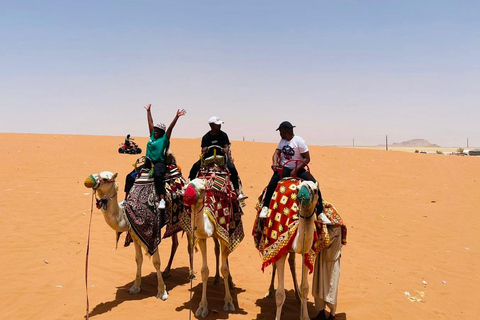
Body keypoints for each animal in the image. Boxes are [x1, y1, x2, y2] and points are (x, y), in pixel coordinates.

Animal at [84, 171, 169, 302]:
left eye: (105, 178)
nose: (88, 181)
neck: (126, 214)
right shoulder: (134, 234)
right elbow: (138, 259)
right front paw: (135, 287)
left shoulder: (153, 236)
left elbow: (156, 262)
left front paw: (162, 292)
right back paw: (168, 271)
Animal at [184, 176, 244, 318]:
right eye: (187, 186)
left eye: (202, 189)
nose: (187, 197)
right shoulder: (202, 238)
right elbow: (204, 271)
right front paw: (202, 307)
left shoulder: (224, 234)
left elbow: (225, 269)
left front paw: (228, 302)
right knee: (216, 250)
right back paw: (216, 279)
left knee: (225, 254)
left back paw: (230, 282)